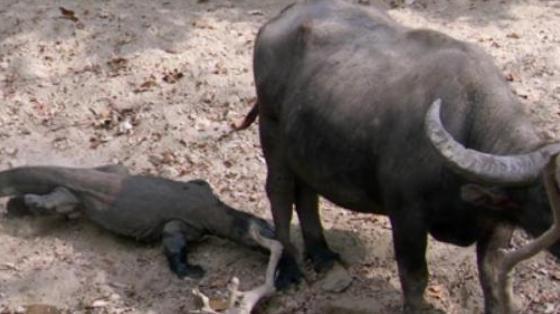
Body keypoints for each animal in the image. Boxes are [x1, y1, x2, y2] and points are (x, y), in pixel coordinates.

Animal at [236, 0, 560, 312]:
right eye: (550, 199)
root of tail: (276, 21)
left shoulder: (498, 228)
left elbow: (493, 283)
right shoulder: (406, 216)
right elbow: (415, 278)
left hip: (305, 145)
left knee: (307, 193)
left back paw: (322, 254)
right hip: (272, 132)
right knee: (279, 193)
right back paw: (290, 270)